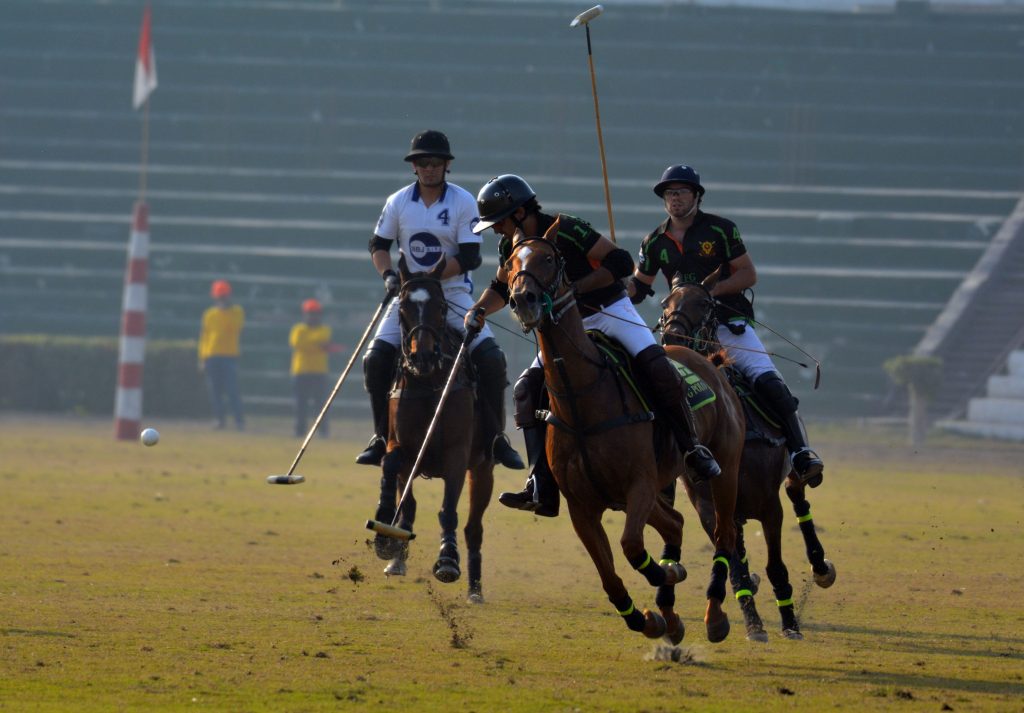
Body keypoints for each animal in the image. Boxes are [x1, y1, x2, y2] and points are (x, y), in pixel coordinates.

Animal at [370, 256, 493, 602]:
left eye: (441, 307)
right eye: (402, 308)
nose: (422, 356)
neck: (427, 381)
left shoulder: (457, 454)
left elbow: (448, 509)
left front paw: (448, 559)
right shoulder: (401, 445)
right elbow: (391, 467)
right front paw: (385, 532)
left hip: (484, 468)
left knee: (474, 528)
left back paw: (475, 588)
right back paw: (397, 555)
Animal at [509, 236, 745, 643]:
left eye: (550, 258)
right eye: (509, 262)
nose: (524, 299)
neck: (582, 399)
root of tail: (708, 362)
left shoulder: (640, 483)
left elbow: (632, 546)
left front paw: (667, 573)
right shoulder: (582, 506)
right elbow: (608, 573)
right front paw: (646, 618)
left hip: (723, 468)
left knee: (723, 532)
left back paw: (713, 615)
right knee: (676, 522)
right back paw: (670, 616)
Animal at [659, 272, 835, 639]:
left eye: (704, 303)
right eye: (666, 302)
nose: (672, 334)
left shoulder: (769, 504)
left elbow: (776, 565)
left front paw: (789, 622)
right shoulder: (708, 505)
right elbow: (735, 565)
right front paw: (752, 622)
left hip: (792, 470)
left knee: (799, 495)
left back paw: (820, 566)